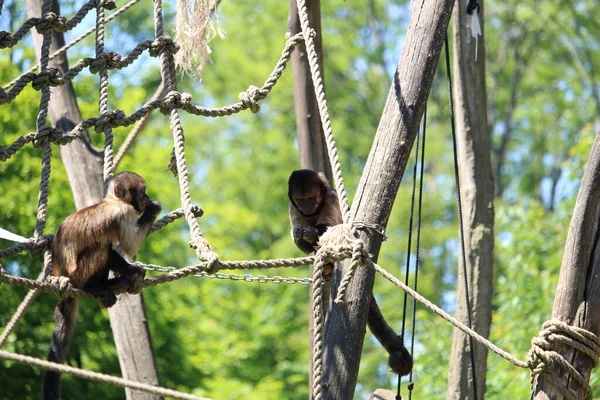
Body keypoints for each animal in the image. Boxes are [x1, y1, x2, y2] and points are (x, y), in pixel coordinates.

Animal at [43, 171, 162, 400]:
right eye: (142, 192)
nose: (147, 197)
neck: (111, 201)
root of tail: (59, 274)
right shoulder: (123, 212)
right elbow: (129, 244)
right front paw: (153, 209)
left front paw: (131, 272)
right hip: (77, 275)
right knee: (101, 248)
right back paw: (94, 288)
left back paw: (112, 284)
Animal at [288, 170, 412, 376]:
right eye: (301, 200)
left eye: (311, 198)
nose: (307, 207)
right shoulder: (293, 206)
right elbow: (298, 231)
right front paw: (301, 234)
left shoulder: (330, 197)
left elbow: (328, 226)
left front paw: (312, 234)